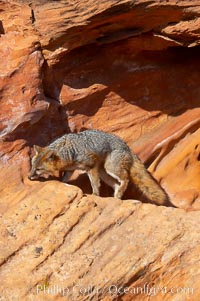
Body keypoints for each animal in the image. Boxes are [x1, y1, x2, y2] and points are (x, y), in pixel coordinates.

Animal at [28, 127, 169, 205]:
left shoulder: (91, 166)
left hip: (110, 168)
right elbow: (64, 179)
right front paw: (62, 183)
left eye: (38, 169)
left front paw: (95, 195)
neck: (68, 150)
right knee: (117, 184)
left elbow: (94, 184)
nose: (29, 177)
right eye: (32, 166)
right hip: (104, 173)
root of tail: (126, 145)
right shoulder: (70, 169)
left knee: (126, 178)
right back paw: (117, 196)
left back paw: (119, 192)